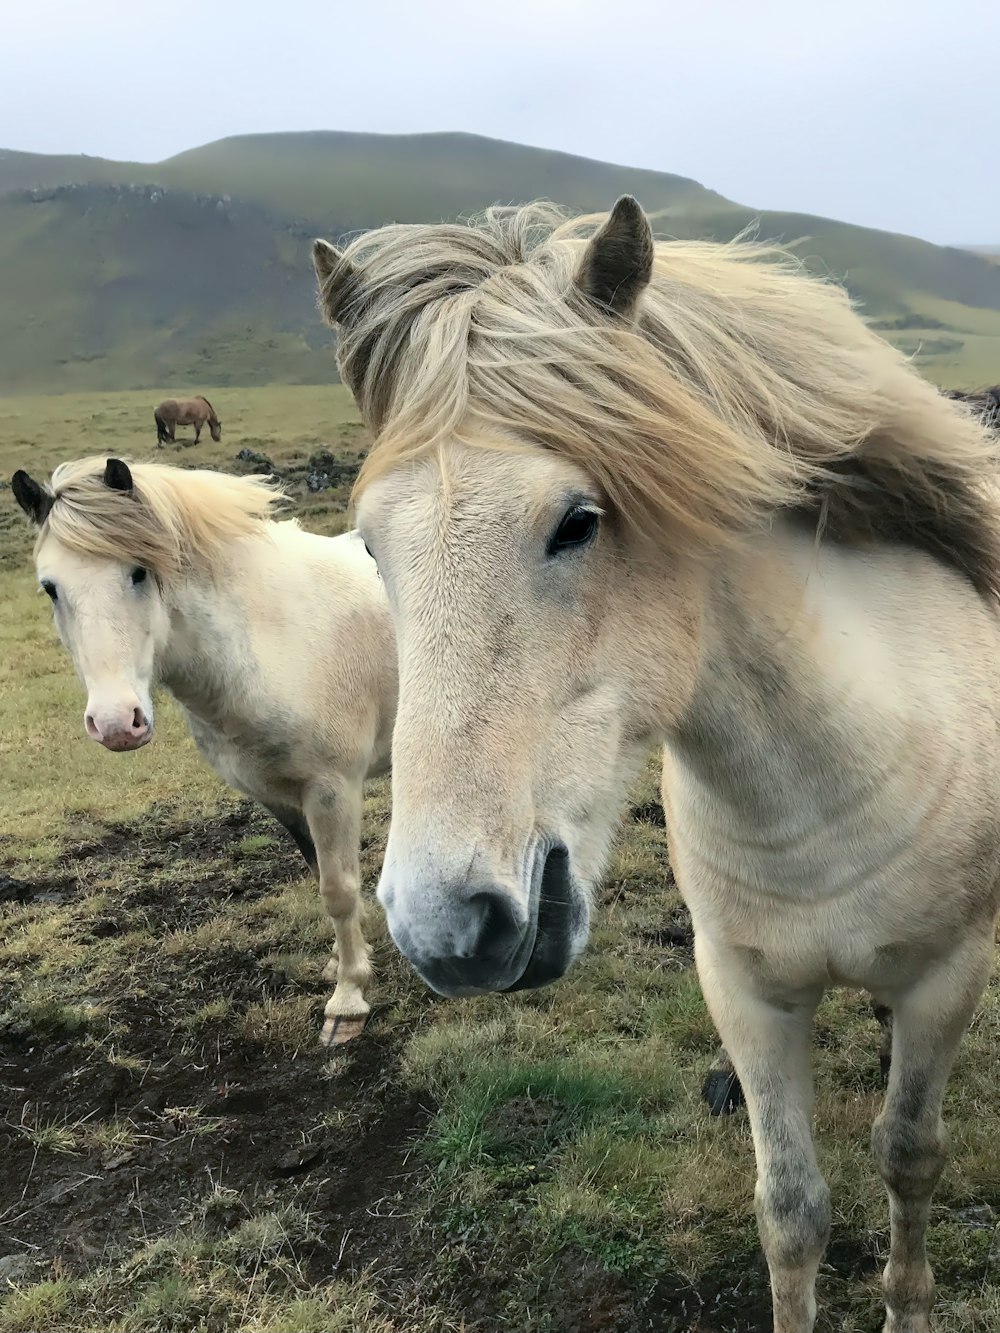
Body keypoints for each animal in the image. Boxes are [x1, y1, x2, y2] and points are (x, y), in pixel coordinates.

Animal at [11, 458, 397, 1050]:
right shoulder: (277, 796)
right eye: (51, 588)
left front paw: (348, 1000)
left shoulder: (332, 790)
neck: (269, 638)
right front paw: (342, 962)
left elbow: (338, 889)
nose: (116, 723)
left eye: (138, 572)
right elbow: (320, 875)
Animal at [314, 193, 1000, 1327]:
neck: (821, 788)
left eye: (578, 521)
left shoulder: (946, 977)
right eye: (370, 545)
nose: (447, 927)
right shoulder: (746, 989)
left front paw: (906, 1305)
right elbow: (791, 1208)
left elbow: (909, 1155)